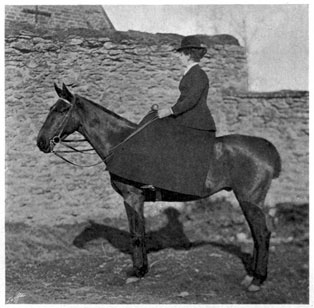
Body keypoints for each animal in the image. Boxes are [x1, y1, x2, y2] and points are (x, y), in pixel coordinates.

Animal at [37, 83, 282, 292]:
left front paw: (137, 272)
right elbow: (140, 232)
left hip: (249, 200)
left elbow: (136, 234)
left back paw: (257, 279)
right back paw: (251, 276)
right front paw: (141, 269)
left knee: (262, 233)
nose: (41, 142)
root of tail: (266, 147)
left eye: (61, 110)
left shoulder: (132, 197)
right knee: (257, 233)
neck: (121, 142)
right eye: (51, 108)